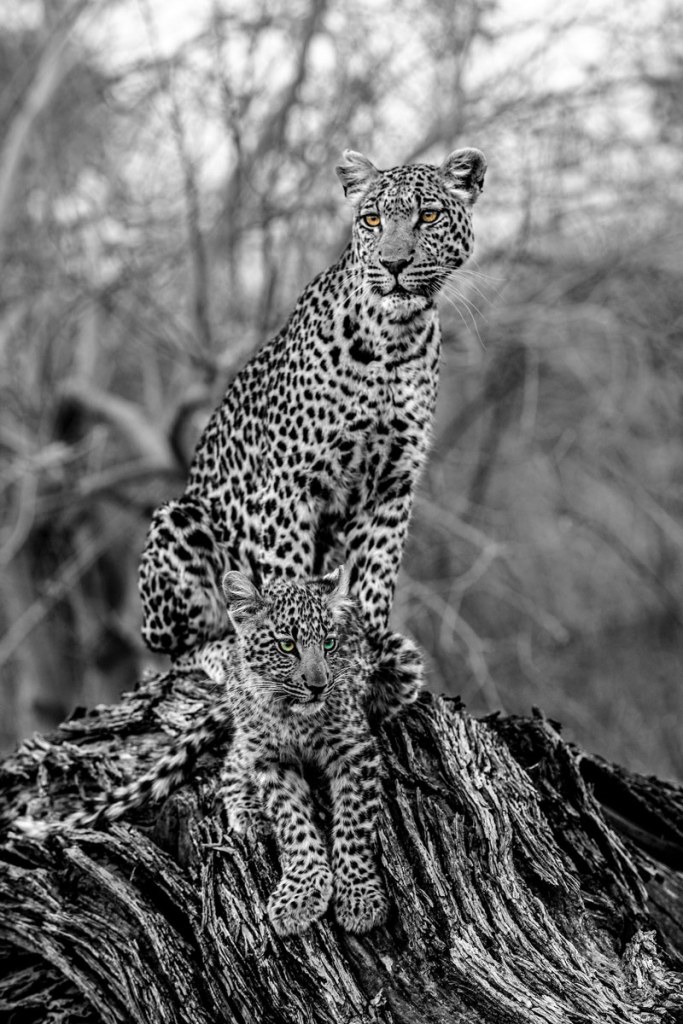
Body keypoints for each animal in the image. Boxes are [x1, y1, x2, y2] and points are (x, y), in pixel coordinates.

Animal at [52, 567, 423, 935]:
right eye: (286, 645)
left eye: (330, 644)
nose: (319, 686)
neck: (291, 715)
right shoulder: (271, 761)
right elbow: (293, 823)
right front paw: (301, 892)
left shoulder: (356, 751)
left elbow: (353, 824)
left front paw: (359, 895)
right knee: (233, 757)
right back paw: (247, 809)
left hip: (404, 660)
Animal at [139, 147, 487, 684]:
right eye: (372, 219)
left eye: (428, 216)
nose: (393, 264)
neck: (395, 340)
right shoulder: (287, 486)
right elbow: (287, 582)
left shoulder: (393, 485)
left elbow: (374, 580)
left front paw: (367, 654)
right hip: (179, 518)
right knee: (180, 649)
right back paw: (225, 654)